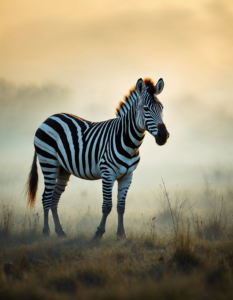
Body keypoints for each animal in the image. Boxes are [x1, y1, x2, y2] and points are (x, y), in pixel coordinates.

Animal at [26, 77, 169, 237]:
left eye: (162, 108)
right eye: (146, 109)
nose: (164, 136)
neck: (129, 143)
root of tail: (48, 118)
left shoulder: (128, 176)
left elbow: (121, 206)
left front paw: (121, 234)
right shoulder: (107, 173)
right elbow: (107, 206)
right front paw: (99, 233)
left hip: (63, 169)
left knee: (54, 199)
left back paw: (60, 231)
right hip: (48, 162)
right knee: (46, 197)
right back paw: (46, 231)